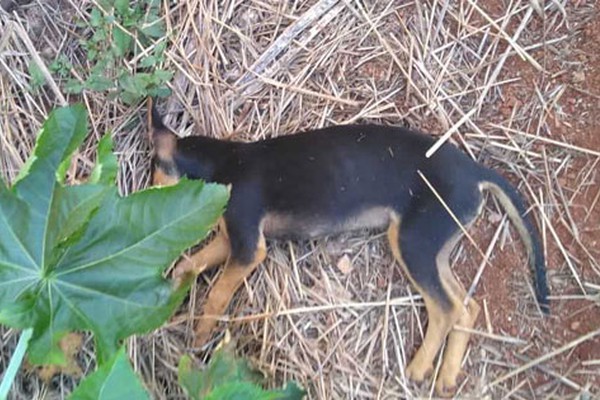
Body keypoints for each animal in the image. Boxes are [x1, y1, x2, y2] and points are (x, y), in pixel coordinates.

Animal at [146, 100, 548, 394]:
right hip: (434, 245)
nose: (144, 198)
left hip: (412, 243)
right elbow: (191, 263)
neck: (222, 163)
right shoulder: (229, 240)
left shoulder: (247, 248)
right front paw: (171, 288)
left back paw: (418, 369)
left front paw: (200, 333)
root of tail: (476, 172)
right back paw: (447, 375)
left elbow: (217, 293)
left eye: (153, 174)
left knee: (446, 308)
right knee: (467, 307)